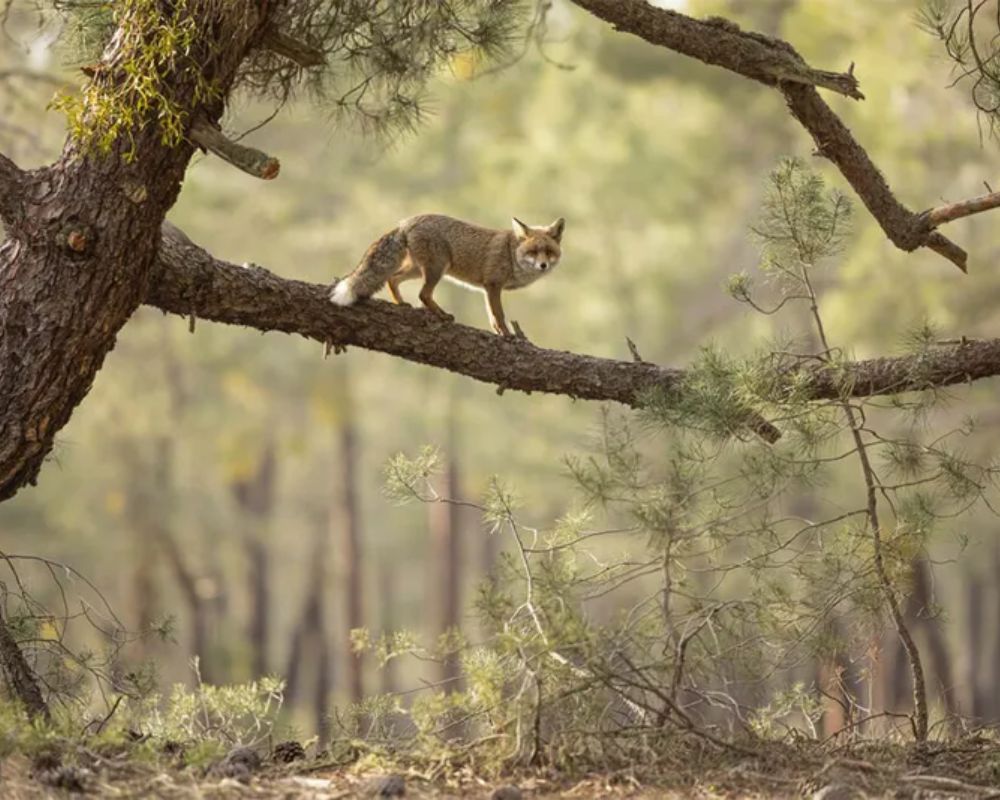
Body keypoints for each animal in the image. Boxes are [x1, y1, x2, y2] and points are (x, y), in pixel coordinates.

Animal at [328, 214, 564, 336]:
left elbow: (492, 317)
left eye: (548, 252)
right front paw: (506, 335)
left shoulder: (487, 289)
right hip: (436, 268)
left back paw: (401, 303)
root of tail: (407, 221)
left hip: (417, 269)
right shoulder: (493, 285)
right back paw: (441, 315)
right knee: (423, 295)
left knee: (392, 278)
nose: (543, 265)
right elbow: (499, 315)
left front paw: (499, 332)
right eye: (533, 252)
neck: (511, 254)